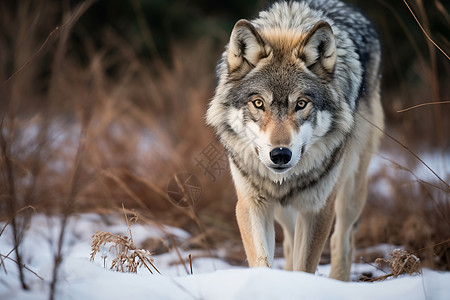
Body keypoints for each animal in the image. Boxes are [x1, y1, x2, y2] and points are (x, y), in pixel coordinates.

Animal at [206, 0, 382, 282]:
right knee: (289, 241)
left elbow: (306, 265)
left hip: (351, 191)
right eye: (259, 103)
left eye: (301, 104)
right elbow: (262, 261)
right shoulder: (251, 204)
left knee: (342, 239)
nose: (280, 154)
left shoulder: (317, 209)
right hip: (284, 211)